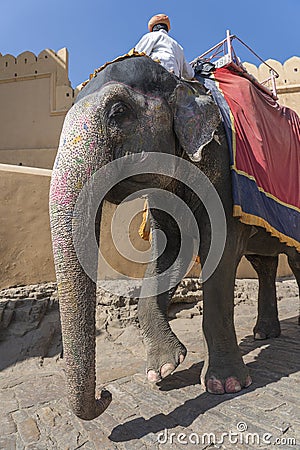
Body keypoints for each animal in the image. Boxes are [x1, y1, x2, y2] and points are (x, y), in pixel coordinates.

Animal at [49, 54, 300, 420]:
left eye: (118, 112)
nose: (105, 394)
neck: (180, 81)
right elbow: (169, 251)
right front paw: (162, 369)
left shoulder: (221, 168)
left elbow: (220, 250)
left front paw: (225, 385)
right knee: (263, 263)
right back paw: (262, 334)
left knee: (293, 261)